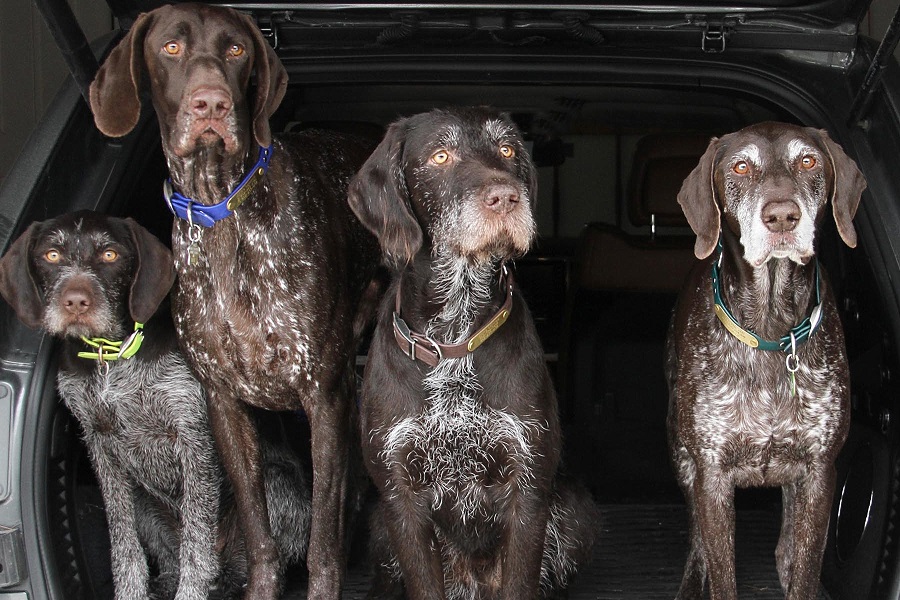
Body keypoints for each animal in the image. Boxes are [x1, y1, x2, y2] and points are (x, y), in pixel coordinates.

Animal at [0, 211, 310, 600]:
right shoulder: (100, 446)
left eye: (110, 255)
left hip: (272, 485)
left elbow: (197, 542)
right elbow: (124, 546)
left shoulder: (193, 436)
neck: (113, 356)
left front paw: (191, 592)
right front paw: (130, 592)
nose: (75, 301)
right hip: (145, 503)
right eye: (51, 255)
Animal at [89, 4, 384, 596]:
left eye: (236, 50)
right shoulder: (223, 404)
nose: (211, 103)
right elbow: (257, 531)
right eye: (171, 47)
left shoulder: (323, 398)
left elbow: (321, 544)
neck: (222, 207)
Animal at [350, 108, 596, 600]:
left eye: (507, 149)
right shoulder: (401, 500)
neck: (454, 335)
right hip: (380, 526)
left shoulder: (527, 492)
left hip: (574, 513)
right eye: (441, 156)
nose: (506, 197)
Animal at [668, 123, 864, 600]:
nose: (781, 216)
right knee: (697, 542)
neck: (771, 331)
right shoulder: (712, 475)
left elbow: (805, 567)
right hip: (681, 456)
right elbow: (721, 570)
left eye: (808, 160)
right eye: (741, 167)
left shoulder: (819, 472)